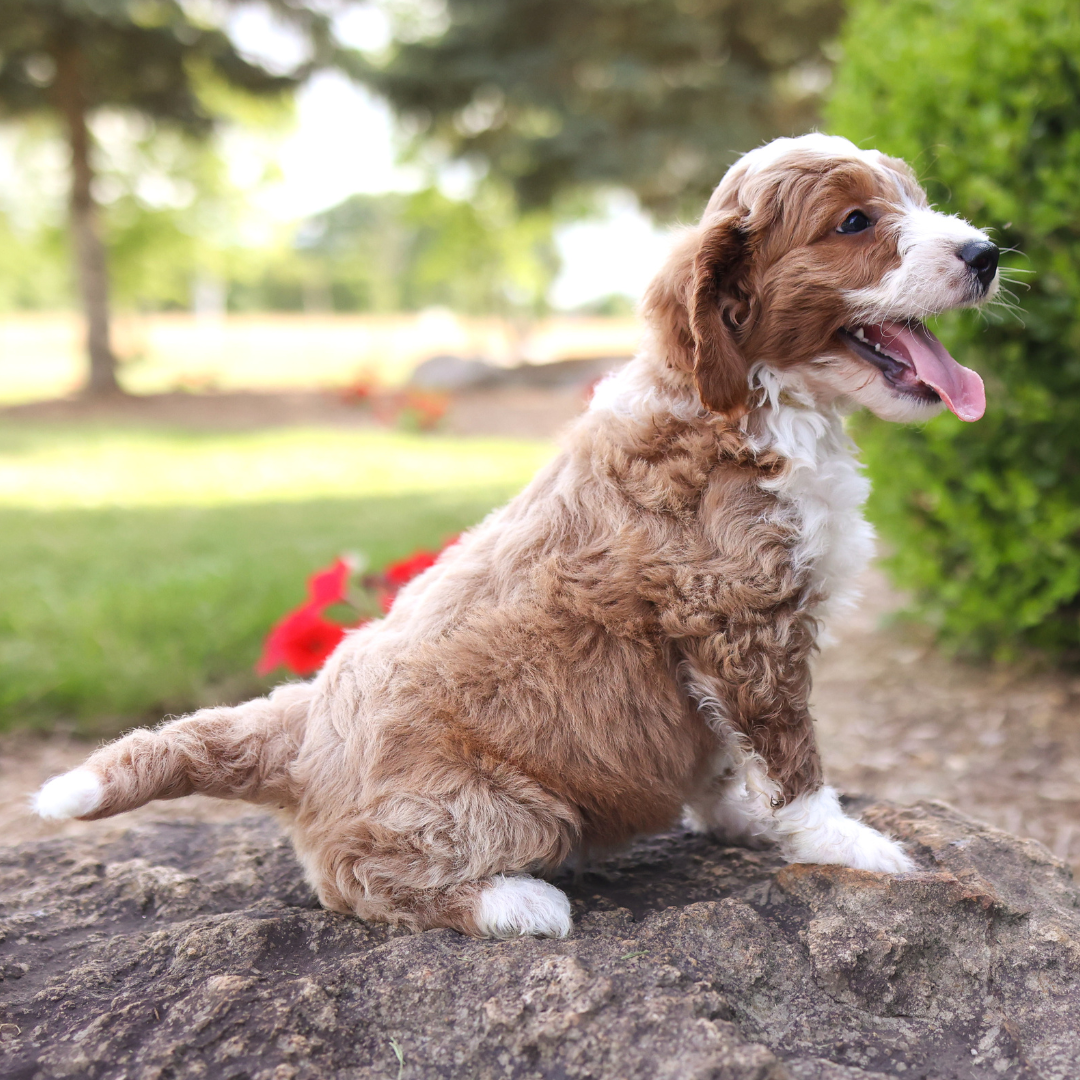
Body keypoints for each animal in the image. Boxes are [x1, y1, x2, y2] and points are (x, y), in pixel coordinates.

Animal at [33, 139, 993, 941]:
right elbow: (789, 752)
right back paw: (518, 903)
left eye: (915, 198)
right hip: (499, 809)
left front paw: (739, 817)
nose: (984, 253)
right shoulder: (739, 616)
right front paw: (844, 844)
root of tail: (300, 729)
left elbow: (726, 754)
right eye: (855, 222)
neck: (754, 407)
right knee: (354, 878)